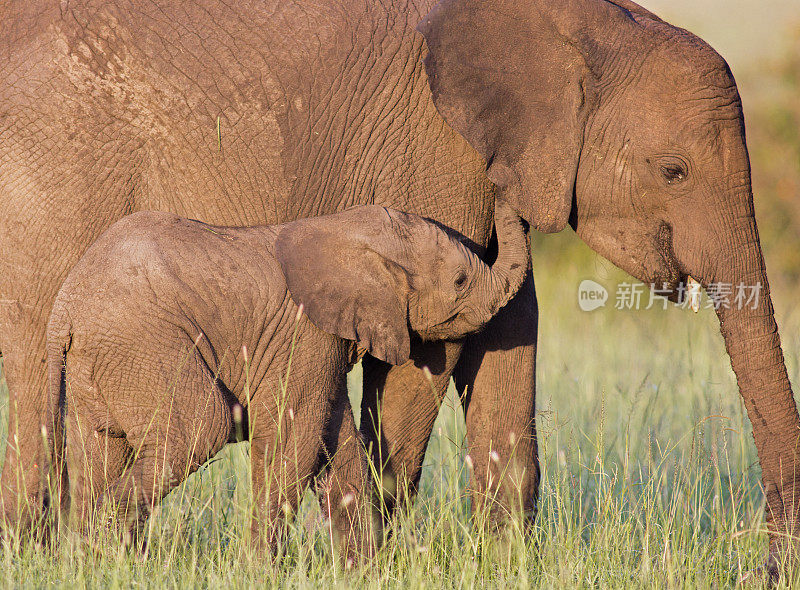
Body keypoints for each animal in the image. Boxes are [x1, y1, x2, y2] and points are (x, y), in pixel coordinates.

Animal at [47, 199, 528, 560]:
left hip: (103, 365)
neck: (345, 230)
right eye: (461, 280)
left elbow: (337, 446)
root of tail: (63, 313)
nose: (504, 197)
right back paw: (108, 544)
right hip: (144, 344)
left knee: (99, 453)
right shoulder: (304, 336)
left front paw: (364, 570)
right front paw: (259, 569)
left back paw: (95, 561)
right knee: (198, 429)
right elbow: (291, 437)